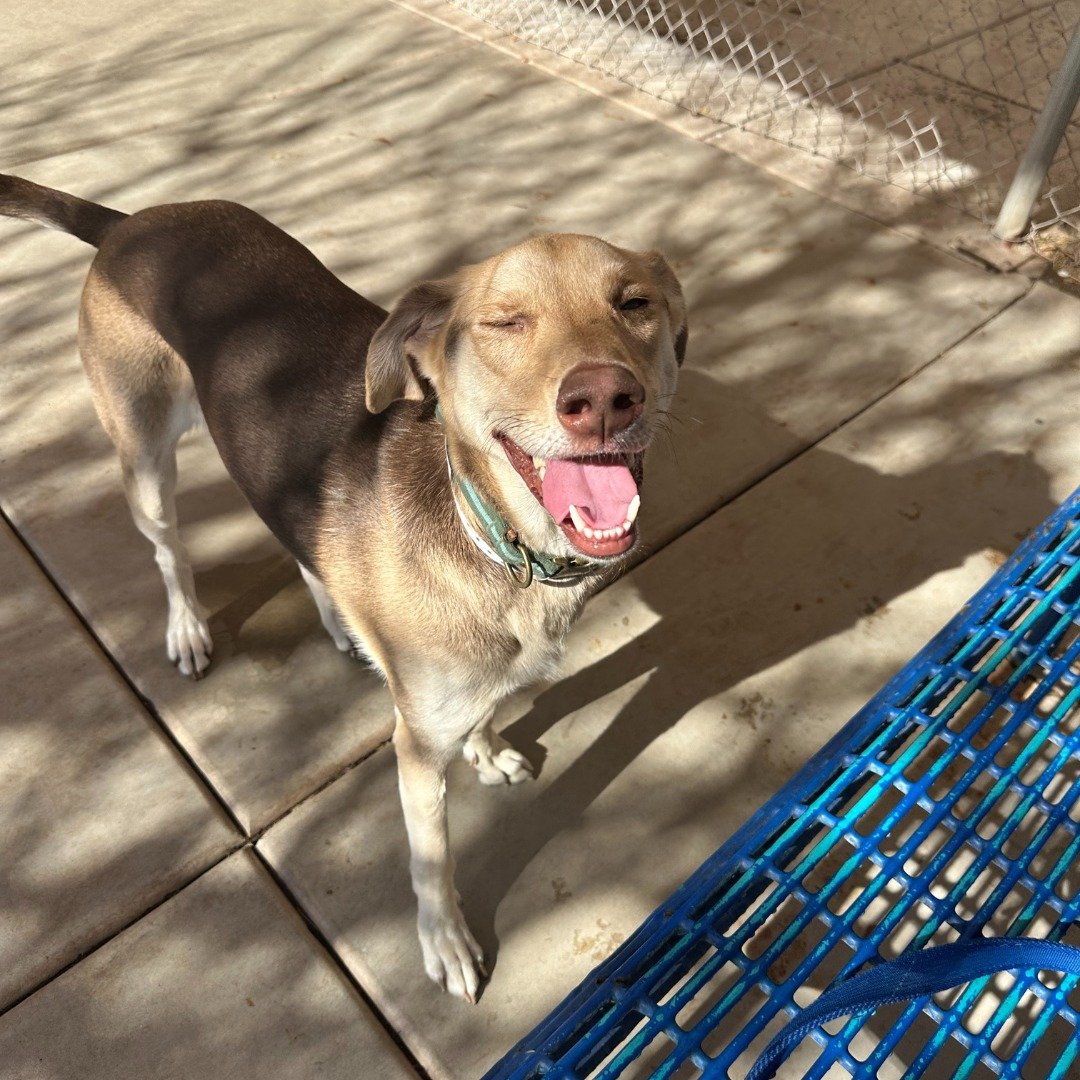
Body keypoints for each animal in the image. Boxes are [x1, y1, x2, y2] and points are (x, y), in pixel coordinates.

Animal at [0, 172, 686, 997]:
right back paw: (187, 628)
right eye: (505, 322)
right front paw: (445, 942)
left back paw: (338, 622)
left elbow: (486, 712)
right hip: (144, 460)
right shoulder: (414, 748)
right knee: (170, 555)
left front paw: (487, 750)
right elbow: (431, 859)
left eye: (634, 303)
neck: (495, 540)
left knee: (299, 544)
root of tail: (128, 223)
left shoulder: (466, 685)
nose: (605, 399)